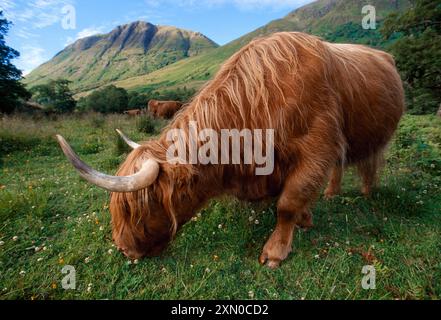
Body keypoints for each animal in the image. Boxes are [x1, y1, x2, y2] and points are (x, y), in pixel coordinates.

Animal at [56, 32, 404, 268]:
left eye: (140, 207)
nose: (123, 249)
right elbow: (297, 197)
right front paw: (306, 218)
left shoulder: (318, 146)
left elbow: (288, 203)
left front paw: (275, 252)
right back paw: (332, 193)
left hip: (375, 134)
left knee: (369, 162)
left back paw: (367, 191)